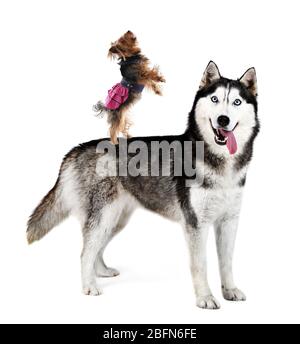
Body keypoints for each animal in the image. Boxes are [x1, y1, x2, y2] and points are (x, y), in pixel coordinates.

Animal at [27, 61, 258, 310]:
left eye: (236, 102)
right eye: (215, 99)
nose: (223, 119)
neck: (220, 162)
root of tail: (76, 149)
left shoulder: (229, 221)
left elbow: (227, 262)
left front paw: (230, 290)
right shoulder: (196, 224)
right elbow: (201, 265)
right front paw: (205, 297)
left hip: (116, 220)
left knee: (96, 248)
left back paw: (102, 271)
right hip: (103, 216)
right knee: (85, 252)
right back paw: (89, 286)